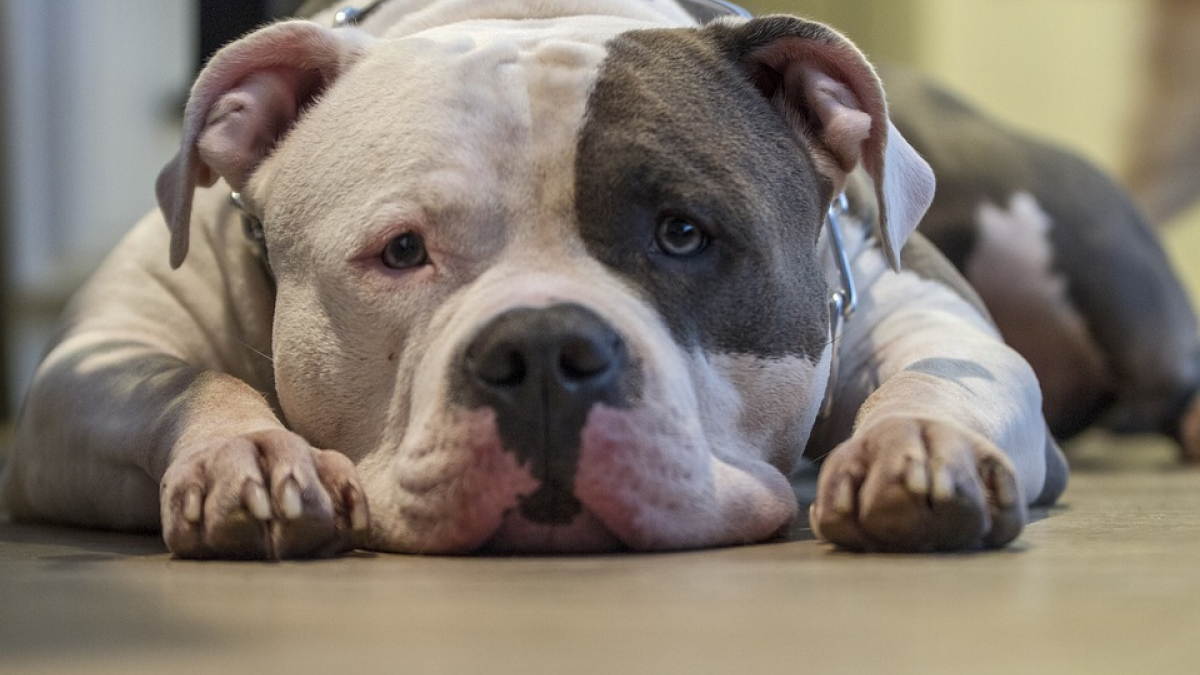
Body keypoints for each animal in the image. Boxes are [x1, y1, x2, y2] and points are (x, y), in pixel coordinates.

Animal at [0, 0, 1190, 557]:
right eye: (401, 251)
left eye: (684, 234)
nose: (541, 354)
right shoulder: (84, 373)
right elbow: (186, 383)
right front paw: (246, 456)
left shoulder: (920, 307)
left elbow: (946, 369)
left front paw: (920, 446)